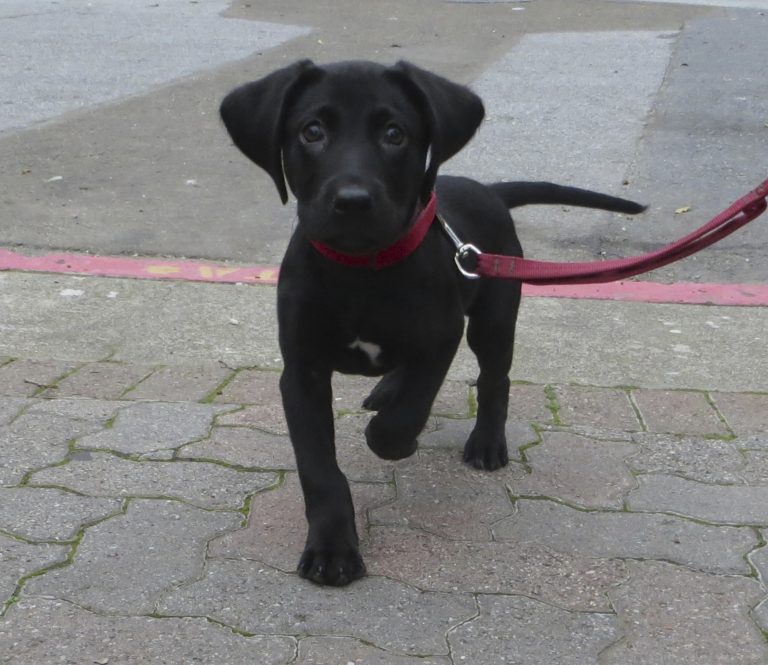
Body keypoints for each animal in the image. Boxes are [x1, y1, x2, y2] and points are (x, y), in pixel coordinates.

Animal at [219, 59, 644, 584]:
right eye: (311, 131)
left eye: (394, 133)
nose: (353, 201)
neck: (360, 270)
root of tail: (487, 189)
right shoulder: (301, 371)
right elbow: (319, 468)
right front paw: (332, 549)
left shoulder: (441, 337)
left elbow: (406, 414)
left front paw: (394, 442)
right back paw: (385, 389)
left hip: (492, 319)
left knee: (494, 379)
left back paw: (486, 442)